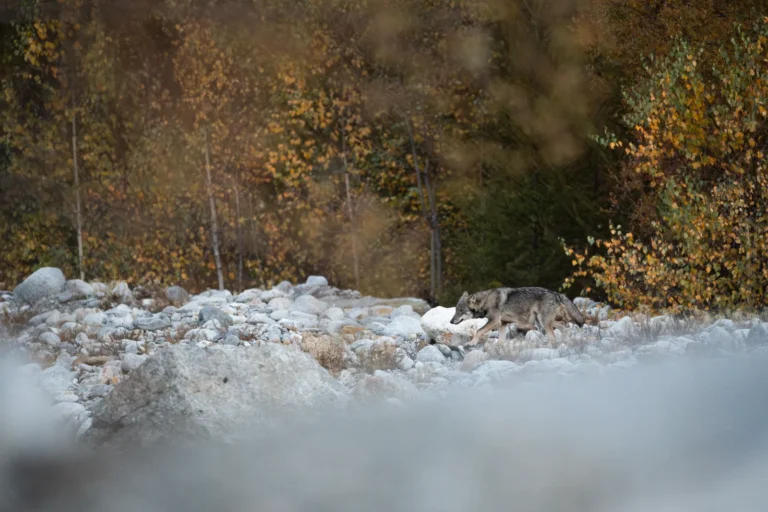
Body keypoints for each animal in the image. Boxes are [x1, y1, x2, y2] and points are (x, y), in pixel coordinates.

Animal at [450, 287, 584, 347]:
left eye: (461, 310)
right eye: (455, 310)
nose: (451, 321)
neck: (485, 301)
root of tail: (557, 293)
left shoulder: (494, 321)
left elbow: (478, 331)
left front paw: (472, 343)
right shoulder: (502, 324)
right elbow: (501, 339)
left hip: (543, 322)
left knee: (553, 336)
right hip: (543, 321)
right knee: (562, 326)